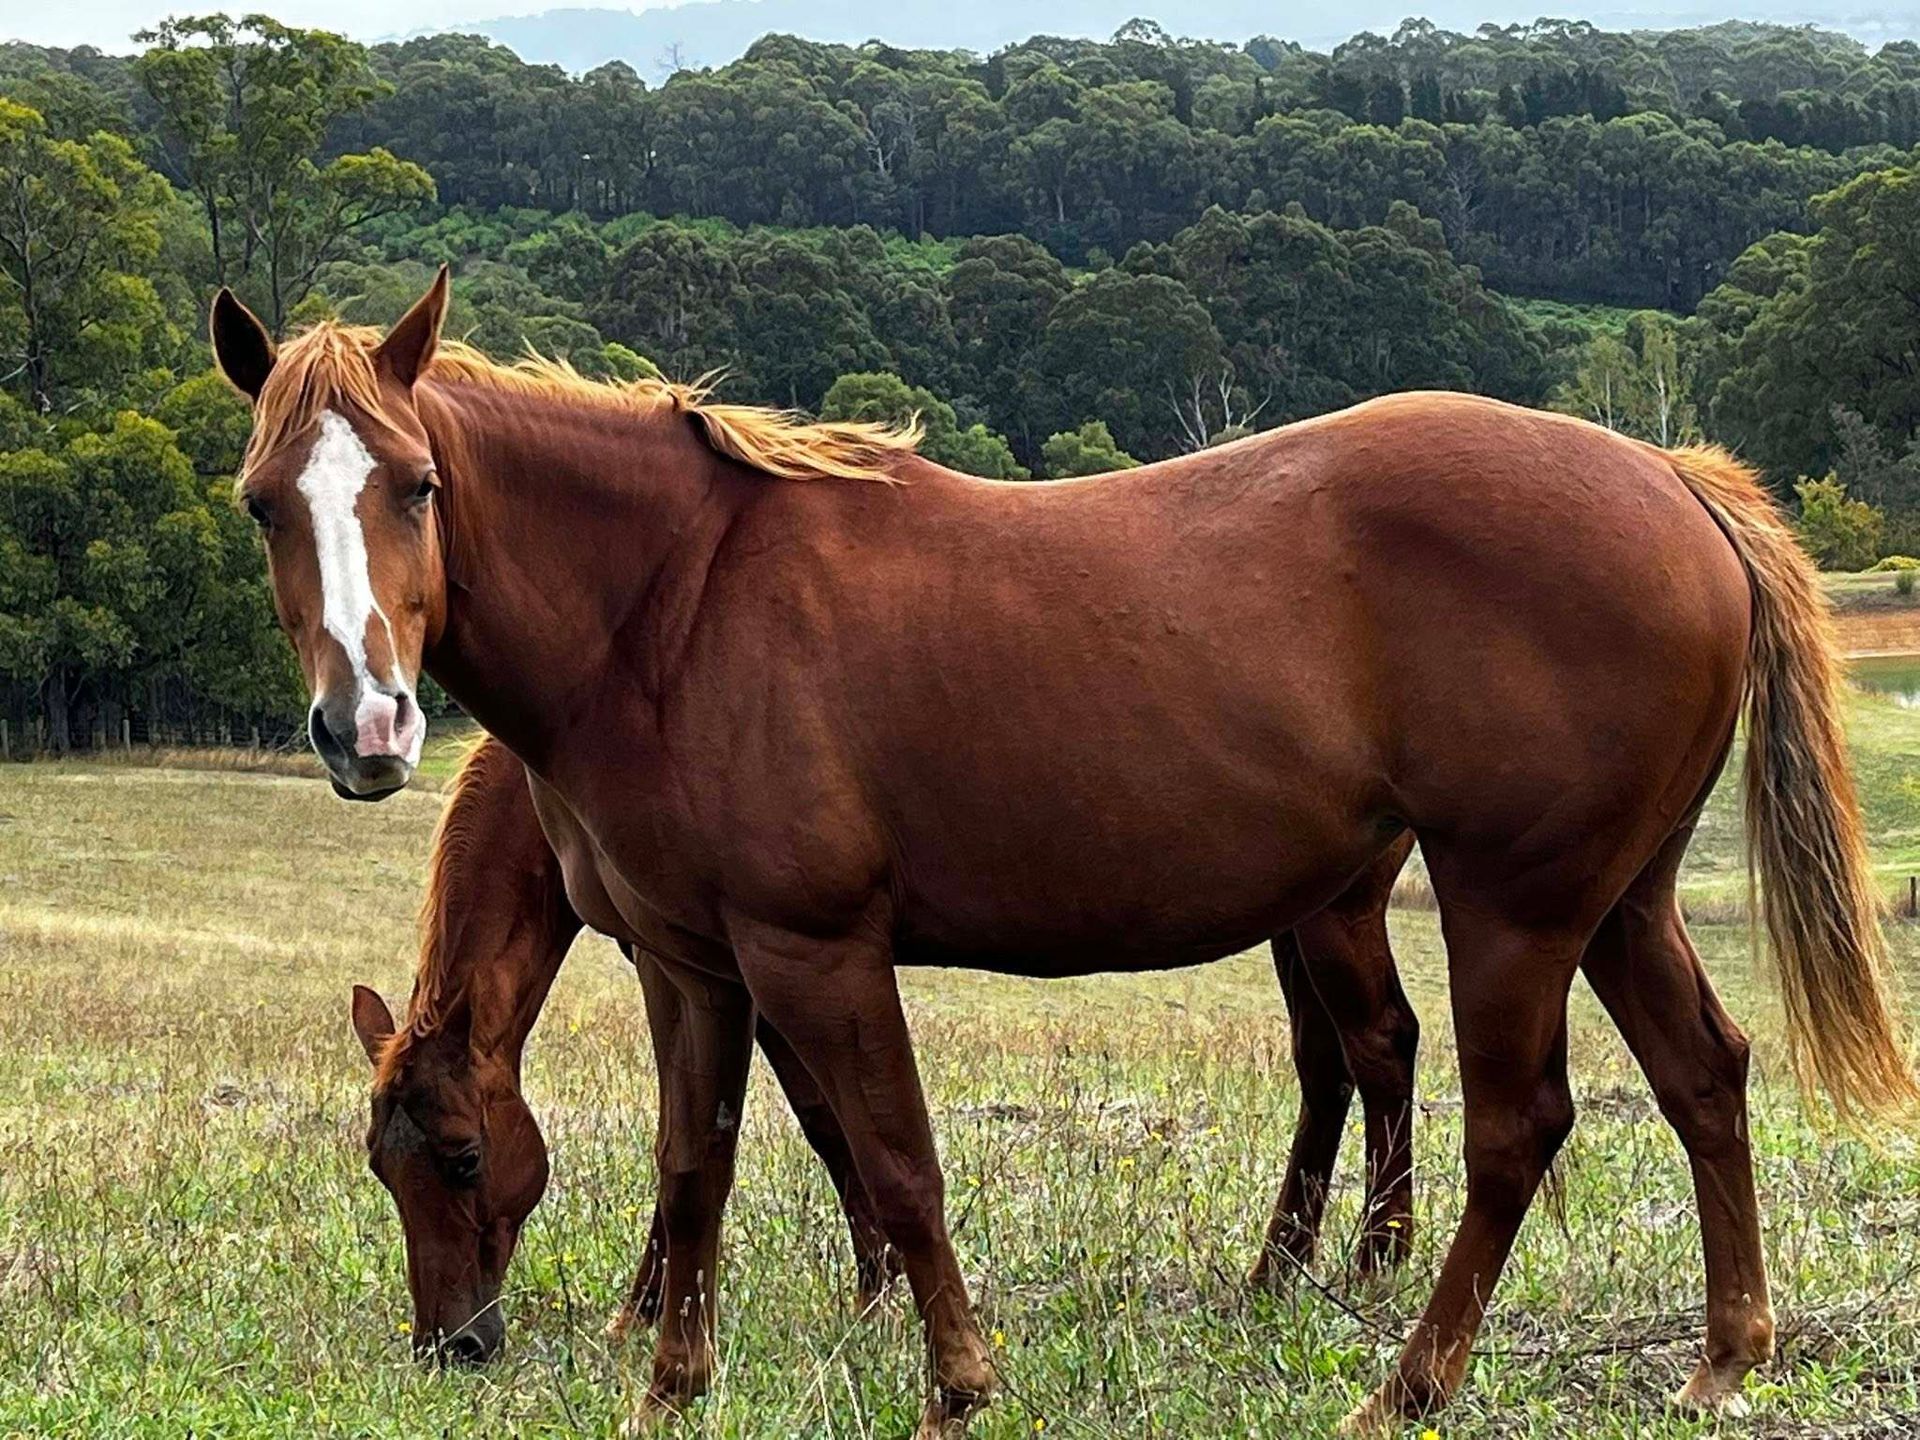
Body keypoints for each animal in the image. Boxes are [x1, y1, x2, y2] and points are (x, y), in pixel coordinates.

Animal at [348, 732, 1422, 1360]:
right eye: (380, 1171)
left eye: (464, 1157)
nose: (448, 1345)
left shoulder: (721, 961)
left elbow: (797, 1127)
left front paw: (857, 1290)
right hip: (1298, 917)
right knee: (1324, 1070)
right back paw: (1278, 1270)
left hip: (1339, 915)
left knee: (1382, 1047)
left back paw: (1377, 1261)